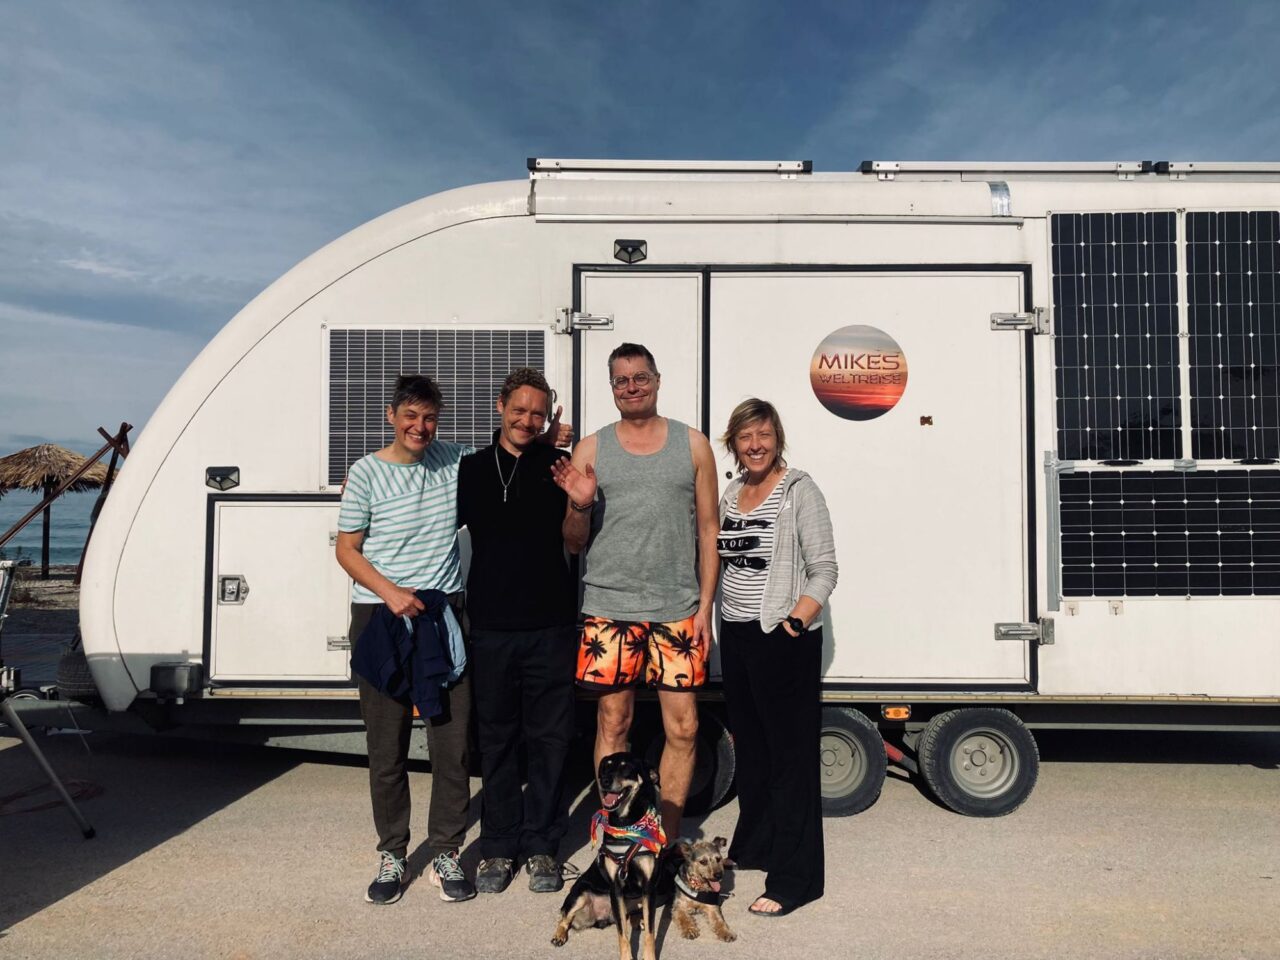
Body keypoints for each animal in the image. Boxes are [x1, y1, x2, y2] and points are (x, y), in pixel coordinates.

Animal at [552, 752, 666, 960]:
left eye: (626, 767)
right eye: (606, 767)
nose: (604, 781)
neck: (626, 824)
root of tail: (600, 916)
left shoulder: (648, 888)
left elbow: (650, 932)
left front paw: (649, 955)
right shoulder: (616, 887)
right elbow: (623, 935)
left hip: (635, 899)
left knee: (633, 916)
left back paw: (638, 921)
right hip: (580, 893)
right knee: (564, 918)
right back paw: (559, 935)